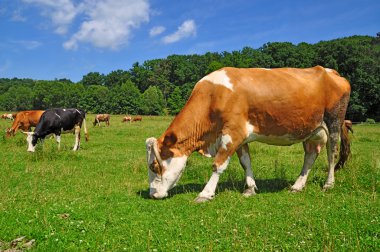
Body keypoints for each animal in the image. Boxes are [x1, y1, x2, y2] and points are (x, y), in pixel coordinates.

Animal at [145, 66, 350, 202]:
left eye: (154, 166)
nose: (152, 194)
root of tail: (331, 72)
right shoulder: (240, 137)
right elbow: (246, 162)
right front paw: (250, 188)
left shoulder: (232, 133)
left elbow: (218, 165)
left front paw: (205, 193)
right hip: (311, 130)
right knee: (310, 155)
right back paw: (297, 186)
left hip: (333, 122)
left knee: (332, 154)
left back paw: (328, 184)